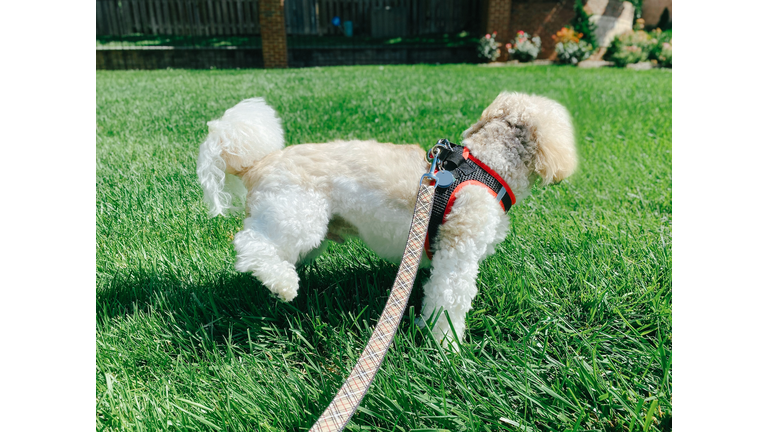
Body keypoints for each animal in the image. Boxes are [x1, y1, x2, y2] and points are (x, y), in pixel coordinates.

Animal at [198, 93, 576, 350]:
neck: (488, 166)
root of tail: (255, 165)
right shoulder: (457, 256)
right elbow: (449, 301)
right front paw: (447, 349)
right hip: (295, 217)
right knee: (250, 245)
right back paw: (284, 284)